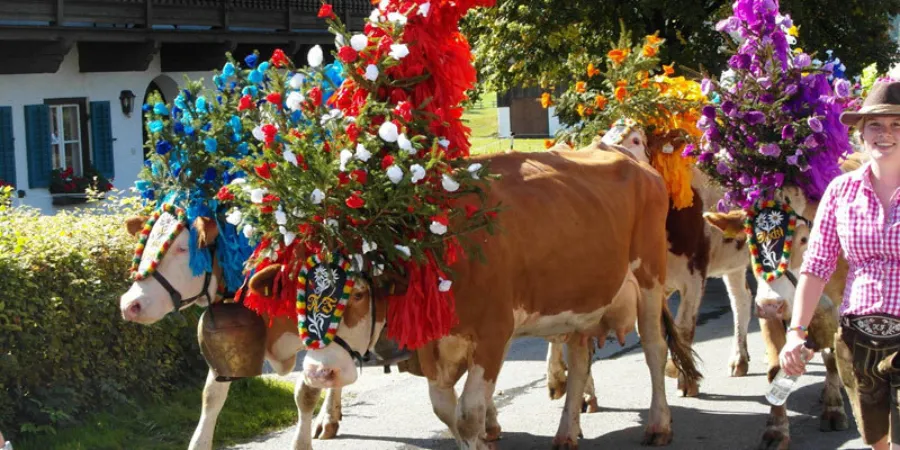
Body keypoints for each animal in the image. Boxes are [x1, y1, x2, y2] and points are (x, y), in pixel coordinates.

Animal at [118, 215, 378, 450]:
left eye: (183, 248)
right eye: (144, 244)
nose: (129, 304)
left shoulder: (318, 340)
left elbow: (306, 393)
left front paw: (300, 443)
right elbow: (211, 396)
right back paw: (328, 419)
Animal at [251, 149, 704, 450]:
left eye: (360, 292)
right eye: (296, 295)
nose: (318, 372)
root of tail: (632, 159)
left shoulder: (493, 331)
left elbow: (468, 414)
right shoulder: (434, 346)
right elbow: (445, 412)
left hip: (649, 279)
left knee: (654, 348)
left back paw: (659, 425)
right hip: (580, 302)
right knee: (579, 360)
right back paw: (565, 432)